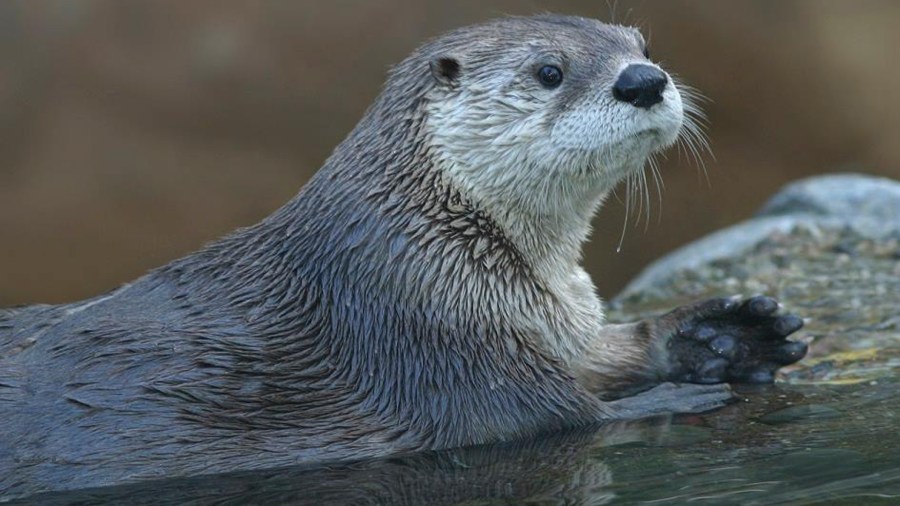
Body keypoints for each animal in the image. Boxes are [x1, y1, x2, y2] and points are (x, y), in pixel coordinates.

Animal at [0, 13, 808, 500]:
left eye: (640, 47)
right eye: (549, 71)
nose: (645, 80)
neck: (424, 240)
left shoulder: (547, 320)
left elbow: (602, 354)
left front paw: (725, 333)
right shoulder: (422, 325)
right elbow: (553, 415)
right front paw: (681, 395)